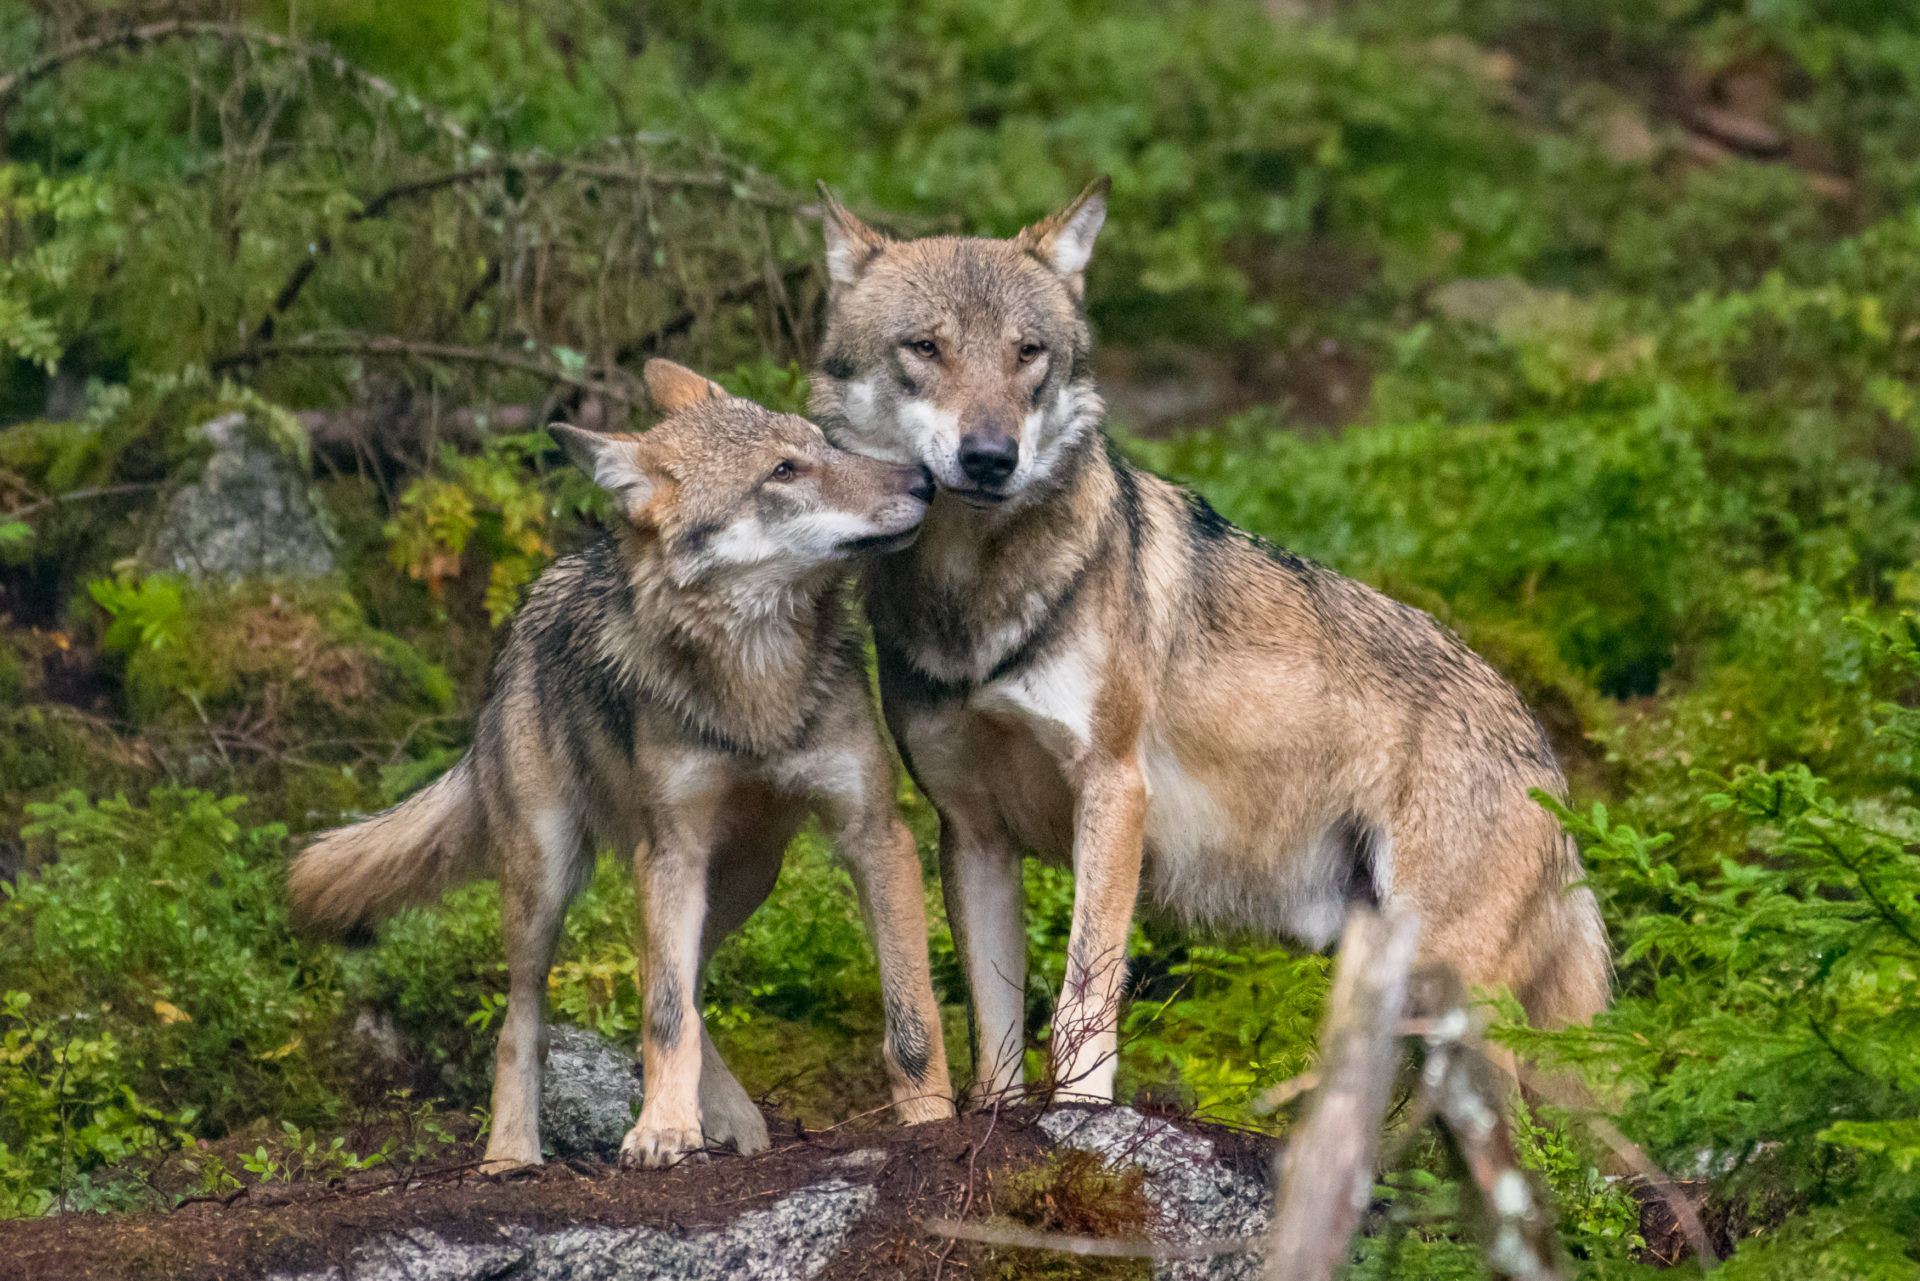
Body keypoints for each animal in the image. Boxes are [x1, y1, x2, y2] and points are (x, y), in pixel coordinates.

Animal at [289, 362, 952, 1175]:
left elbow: (910, 1016)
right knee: (531, 1021)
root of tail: (524, 621)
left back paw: (729, 1116)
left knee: (678, 977)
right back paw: (511, 1155)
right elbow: (665, 1013)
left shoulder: (876, 835)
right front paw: (662, 1128)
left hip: (745, 876)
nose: (926, 480)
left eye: (826, 444)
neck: (756, 688)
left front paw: (931, 1120)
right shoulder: (670, 851)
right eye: (783, 472)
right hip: (549, 882)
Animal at [806, 177, 1605, 1106]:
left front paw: (1082, 1118)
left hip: (1451, 978)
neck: (974, 596)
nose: (991, 456)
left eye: (1028, 352)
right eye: (925, 348)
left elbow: (1083, 994)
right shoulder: (972, 834)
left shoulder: (1115, 791)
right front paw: (1000, 1118)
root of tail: (1540, 743)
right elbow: (994, 1028)